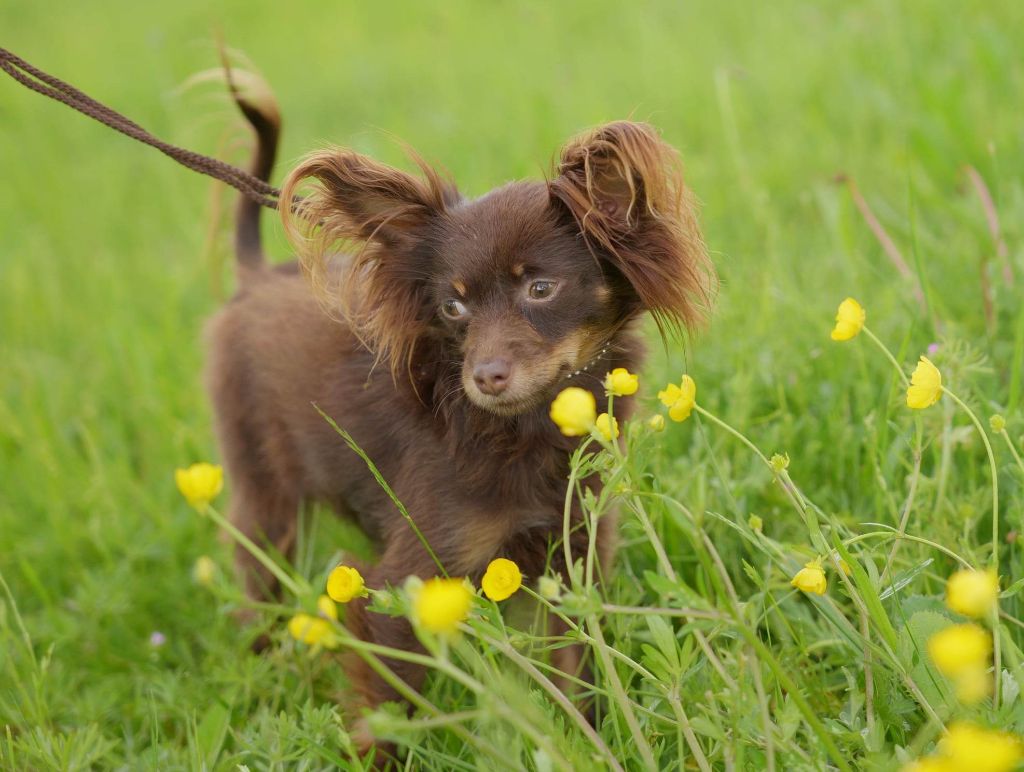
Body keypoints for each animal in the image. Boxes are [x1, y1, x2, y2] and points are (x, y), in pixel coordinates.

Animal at [203, 83, 708, 741]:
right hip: (267, 495)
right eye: (452, 308)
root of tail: (255, 277)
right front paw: (375, 751)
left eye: (540, 289)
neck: (522, 429)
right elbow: (390, 707)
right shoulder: (406, 582)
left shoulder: (573, 559)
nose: (485, 376)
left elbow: (579, 677)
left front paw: (591, 742)